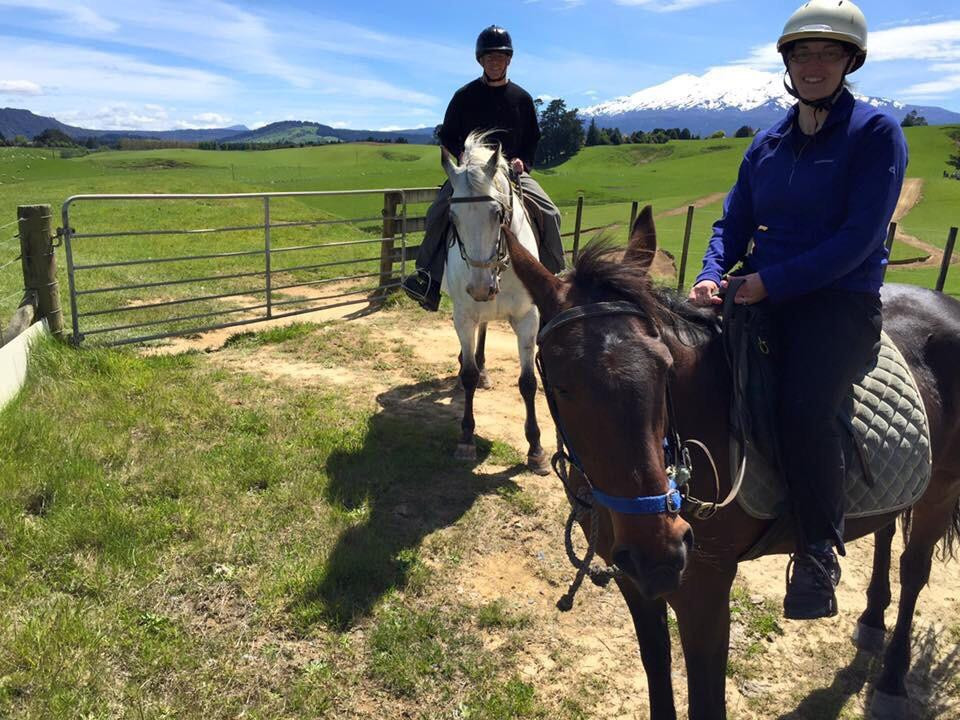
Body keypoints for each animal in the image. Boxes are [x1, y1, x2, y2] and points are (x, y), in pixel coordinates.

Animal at [440, 132, 552, 476]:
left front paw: (536, 449)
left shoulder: (528, 319)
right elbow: (468, 376)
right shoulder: (463, 316)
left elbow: (528, 383)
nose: (479, 287)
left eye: (498, 214)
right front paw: (466, 439)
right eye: (452, 217)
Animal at [502, 205, 960, 716]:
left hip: (943, 488)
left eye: (665, 368)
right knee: (886, 531)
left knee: (914, 569)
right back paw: (873, 619)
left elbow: (706, 701)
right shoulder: (634, 581)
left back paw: (893, 679)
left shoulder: (705, 592)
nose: (660, 550)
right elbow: (656, 670)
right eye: (561, 384)